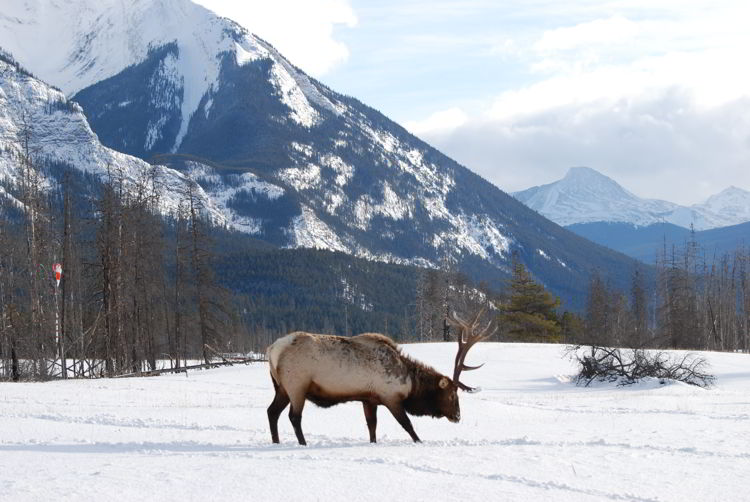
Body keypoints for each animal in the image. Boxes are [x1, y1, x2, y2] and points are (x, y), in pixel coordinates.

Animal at [268, 312, 496, 446]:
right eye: (451, 396)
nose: (457, 416)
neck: (411, 383)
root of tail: (272, 350)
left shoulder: (369, 398)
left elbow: (372, 426)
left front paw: (373, 443)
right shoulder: (390, 397)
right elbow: (408, 425)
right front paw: (420, 442)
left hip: (281, 387)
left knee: (272, 412)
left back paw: (276, 441)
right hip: (297, 384)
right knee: (294, 416)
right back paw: (302, 443)